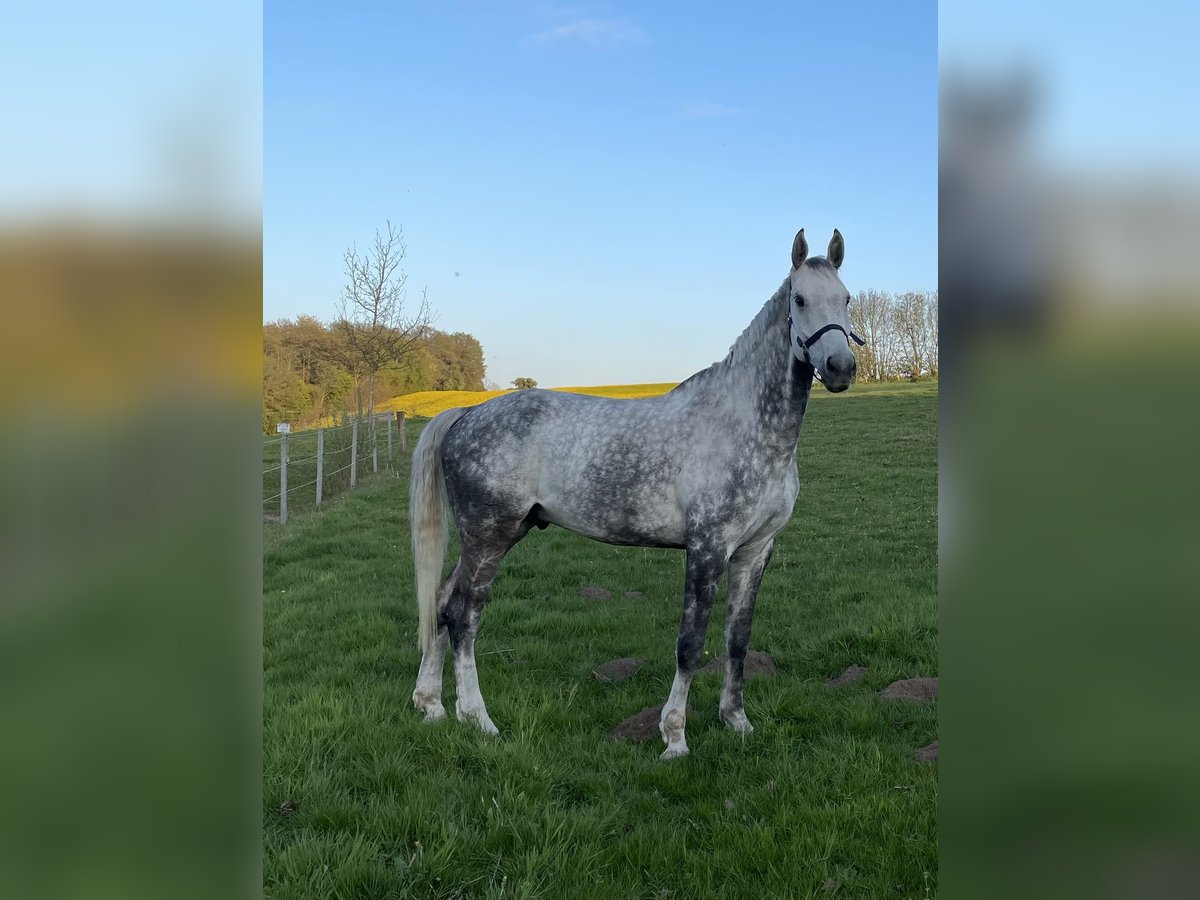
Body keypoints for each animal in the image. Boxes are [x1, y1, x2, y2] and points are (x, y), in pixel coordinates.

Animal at [412, 229, 864, 758]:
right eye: (799, 299)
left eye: (846, 298)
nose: (840, 366)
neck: (745, 427)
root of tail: (466, 414)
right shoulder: (707, 548)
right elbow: (690, 644)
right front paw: (675, 738)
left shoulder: (755, 551)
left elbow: (737, 639)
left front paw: (737, 722)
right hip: (489, 536)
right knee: (463, 616)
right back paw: (478, 719)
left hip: (493, 536)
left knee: (440, 604)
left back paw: (431, 705)